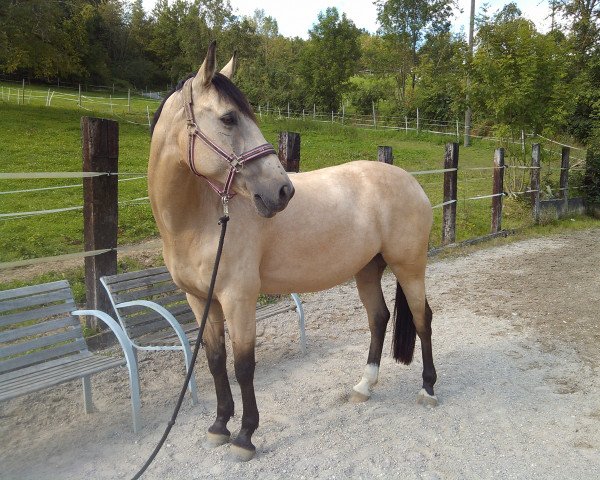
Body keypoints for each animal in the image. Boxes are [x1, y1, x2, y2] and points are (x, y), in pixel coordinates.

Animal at [148, 41, 438, 462]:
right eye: (229, 118)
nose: (282, 191)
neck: (199, 220)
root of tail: (410, 181)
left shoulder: (238, 298)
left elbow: (244, 366)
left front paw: (245, 436)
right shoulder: (201, 300)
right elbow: (216, 362)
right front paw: (219, 426)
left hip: (409, 267)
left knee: (421, 319)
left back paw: (428, 389)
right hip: (368, 269)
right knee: (379, 318)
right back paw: (364, 386)